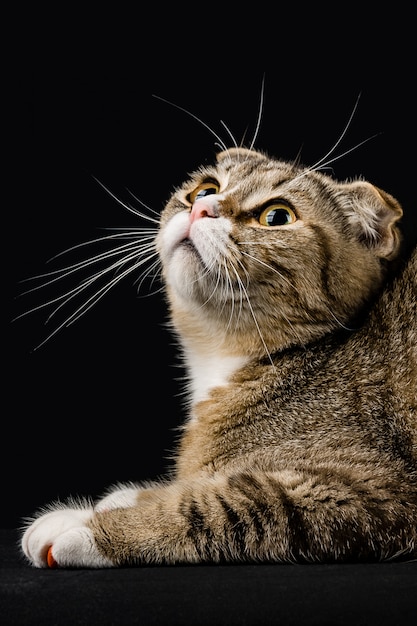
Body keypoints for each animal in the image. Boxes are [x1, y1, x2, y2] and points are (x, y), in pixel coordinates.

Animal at [20, 118, 416, 564]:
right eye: (206, 189)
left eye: (277, 216)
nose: (202, 208)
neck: (223, 360)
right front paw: (123, 499)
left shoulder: (371, 489)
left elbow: (221, 505)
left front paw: (92, 527)